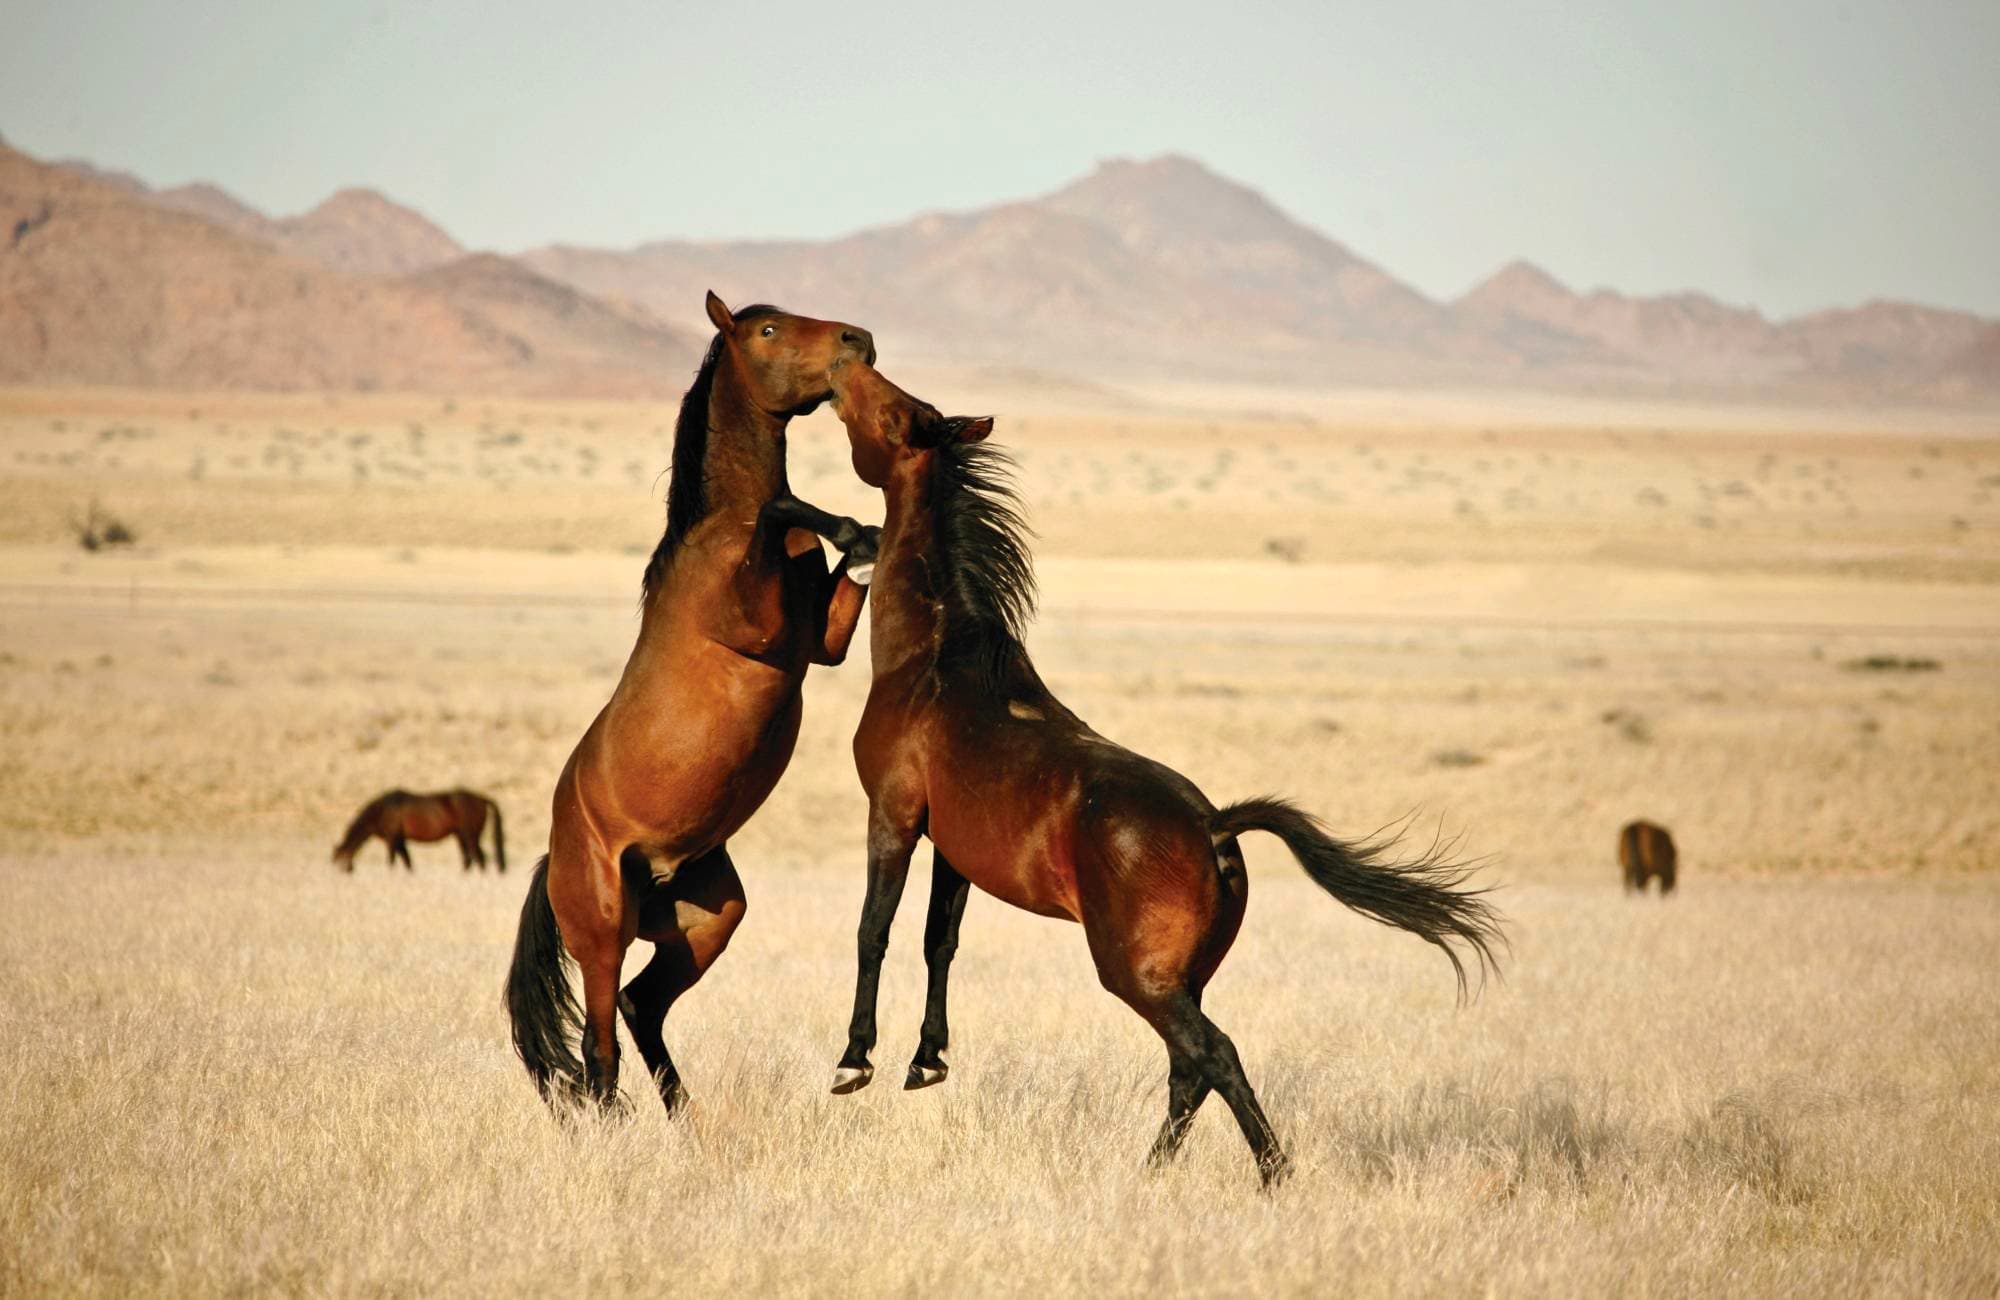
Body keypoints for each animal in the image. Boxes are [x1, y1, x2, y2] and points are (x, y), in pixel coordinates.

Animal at [330, 788, 504, 872]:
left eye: (338, 862)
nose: (346, 873)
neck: (381, 810)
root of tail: (481, 798)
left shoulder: (392, 838)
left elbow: (392, 862)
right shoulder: (400, 841)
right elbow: (408, 863)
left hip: (469, 834)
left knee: (477, 857)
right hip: (461, 835)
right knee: (470, 858)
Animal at [508, 294, 876, 1112]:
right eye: (766, 329)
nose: (860, 339)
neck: (720, 529)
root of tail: (555, 857)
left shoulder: (821, 647)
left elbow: (849, 563)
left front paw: (865, 532)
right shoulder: (758, 626)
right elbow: (781, 507)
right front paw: (835, 519)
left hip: (708, 918)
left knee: (640, 1011)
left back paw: (687, 1118)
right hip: (604, 930)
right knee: (600, 1047)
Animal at [816, 356, 1504, 1184]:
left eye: (894, 411)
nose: (846, 365)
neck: (939, 660)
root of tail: (1214, 825)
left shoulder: (892, 814)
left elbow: (874, 930)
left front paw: (855, 1062)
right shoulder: (953, 849)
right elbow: (937, 942)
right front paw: (927, 1060)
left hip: (1136, 975)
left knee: (1214, 1054)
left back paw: (1272, 1173)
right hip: (1182, 976)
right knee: (1189, 1069)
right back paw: (1152, 1175)